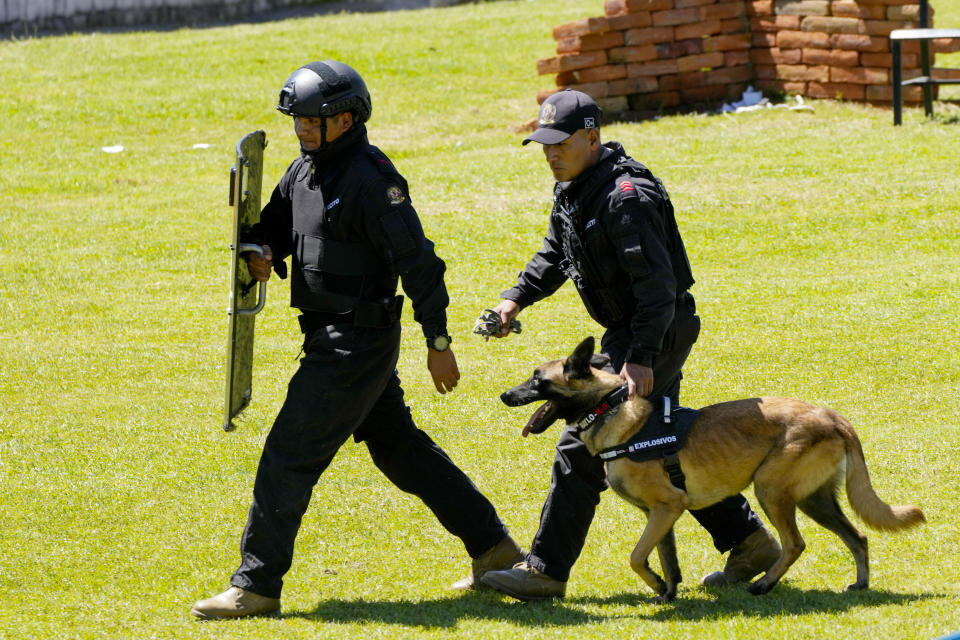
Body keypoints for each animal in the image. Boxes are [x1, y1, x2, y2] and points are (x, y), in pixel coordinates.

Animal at [506, 338, 928, 604]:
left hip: (771, 491)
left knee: (795, 544)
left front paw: (656, 585)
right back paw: (860, 583)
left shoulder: (666, 508)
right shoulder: (659, 516)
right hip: (815, 501)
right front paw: (667, 592)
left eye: (538, 380)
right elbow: (666, 560)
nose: (504, 395)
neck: (610, 410)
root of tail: (834, 417)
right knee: (859, 537)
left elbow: (637, 557)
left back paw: (763, 585)